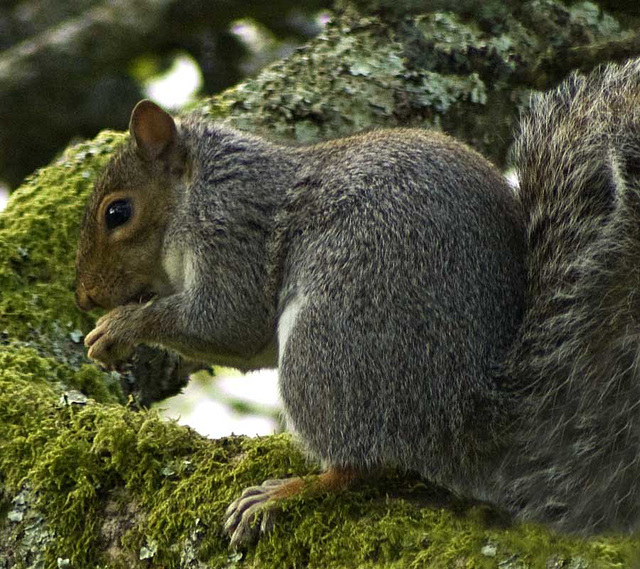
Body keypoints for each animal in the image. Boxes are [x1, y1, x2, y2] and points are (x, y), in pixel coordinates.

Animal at [74, 57, 640, 544]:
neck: (199, 189)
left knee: (356, 467)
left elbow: (227, 321)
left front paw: (121, 327)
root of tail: (463, 411)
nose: (84, 297)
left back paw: (286, 493)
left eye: (117, 212)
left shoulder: (231, 231)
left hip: (328, 343)